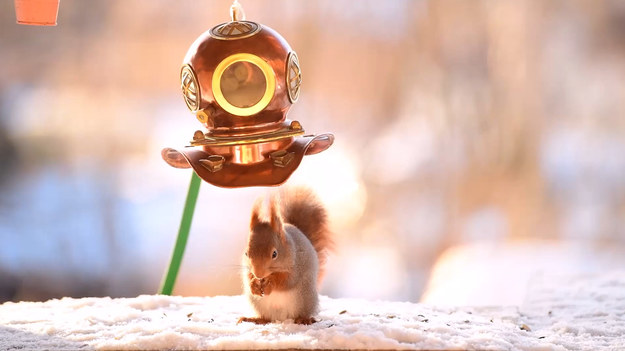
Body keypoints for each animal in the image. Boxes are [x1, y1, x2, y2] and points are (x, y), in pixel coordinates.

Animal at [236, 188, 332, 326]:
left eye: (274, 254)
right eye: (246, 253)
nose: (259, 274)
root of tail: (282, 317)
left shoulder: (296, 266)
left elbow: (286, 281)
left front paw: (270, 284)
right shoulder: (247, 268)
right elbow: (248, 275)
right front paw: (253, 284)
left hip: (304, 298)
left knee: (300, 313)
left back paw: (303, 319)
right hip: (258, 304)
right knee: (266, 318)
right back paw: (255, 319)